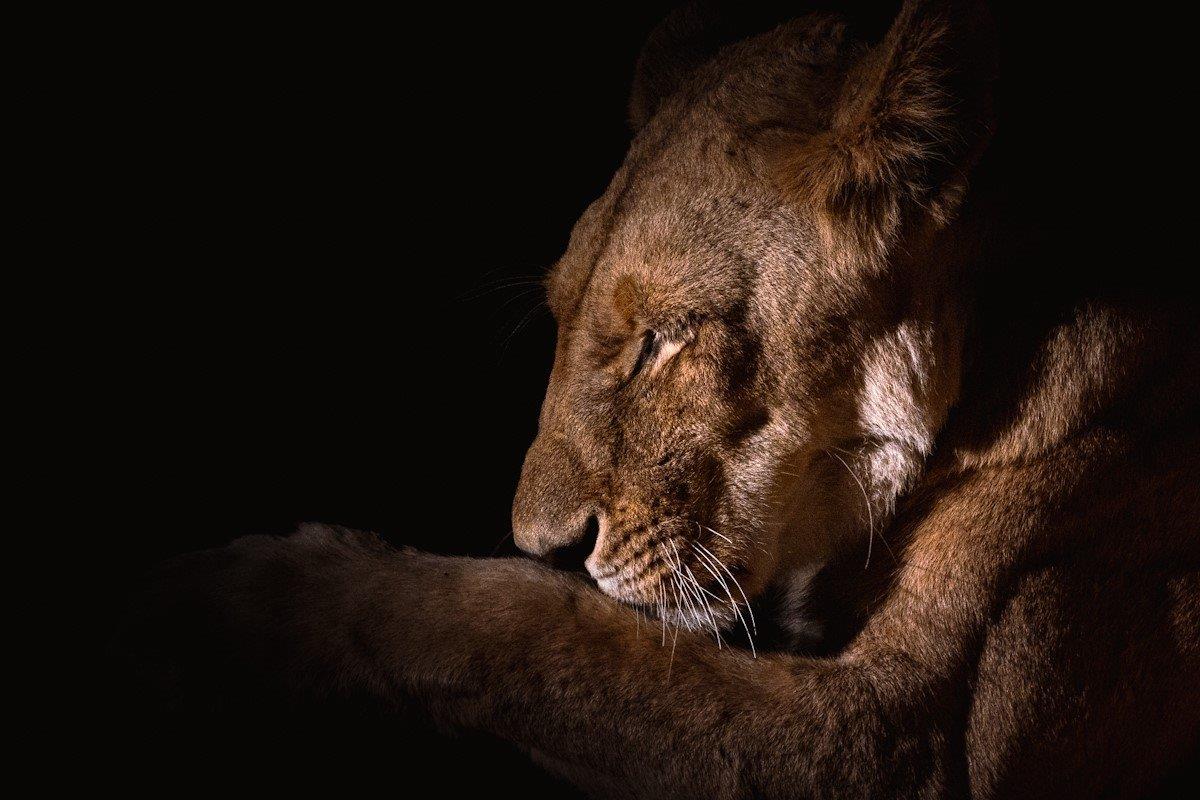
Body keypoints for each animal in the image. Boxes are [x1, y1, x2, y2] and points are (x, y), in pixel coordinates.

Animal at [120, 1, 1199, 796]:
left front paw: (238, 603)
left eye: (665, 338)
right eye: (562, 313)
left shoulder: (910, 737)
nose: (545, 542)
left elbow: (530, 623)